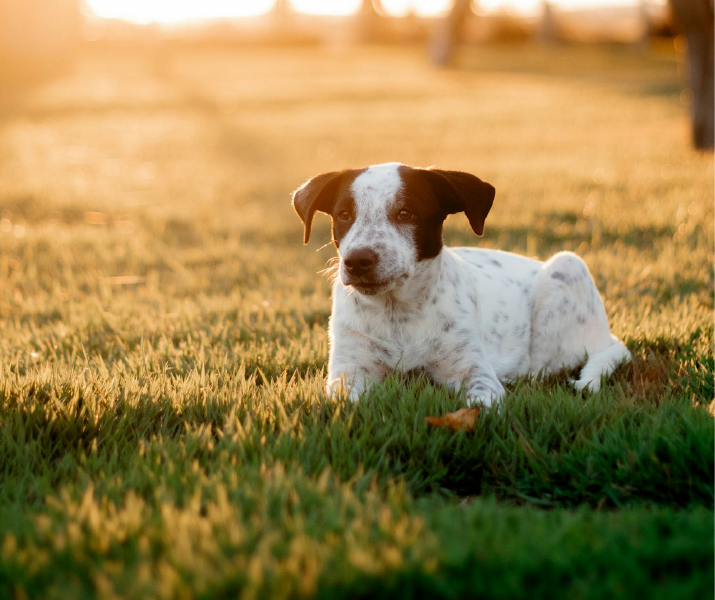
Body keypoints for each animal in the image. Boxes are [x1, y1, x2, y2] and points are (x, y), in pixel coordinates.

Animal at [292, 163, 632, 408]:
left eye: (406, 213)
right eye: (344, 214)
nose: (357, 261)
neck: (397, 314)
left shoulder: (474, 371)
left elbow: (479, 404)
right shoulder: (349, 371)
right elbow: (345, 403)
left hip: (567, 266)